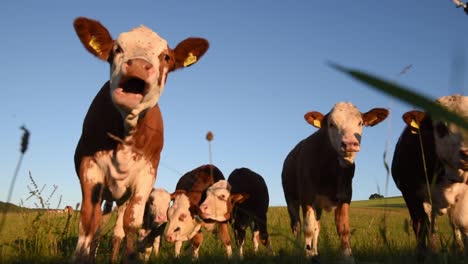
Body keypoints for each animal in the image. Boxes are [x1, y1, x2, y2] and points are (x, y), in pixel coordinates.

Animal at [280, 101, 390, 260]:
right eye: (331, 124)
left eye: (360, 123)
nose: (349, 143)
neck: (330, 171)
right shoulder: (307, 195)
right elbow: (307, 228)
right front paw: (307, 255)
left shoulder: (345, 195)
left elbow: (342, 228)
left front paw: (347, 257)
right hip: (291, 199)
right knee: (297, 226)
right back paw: (299, 251)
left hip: (318, 206)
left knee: (316, 227)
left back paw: (315, 251)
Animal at [392, 94, 468, 260]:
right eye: (441, 128)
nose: (467, 153)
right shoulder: (410, 193)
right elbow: (421, 226)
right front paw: (426, 255)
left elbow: (462, 222)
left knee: (453, 224)